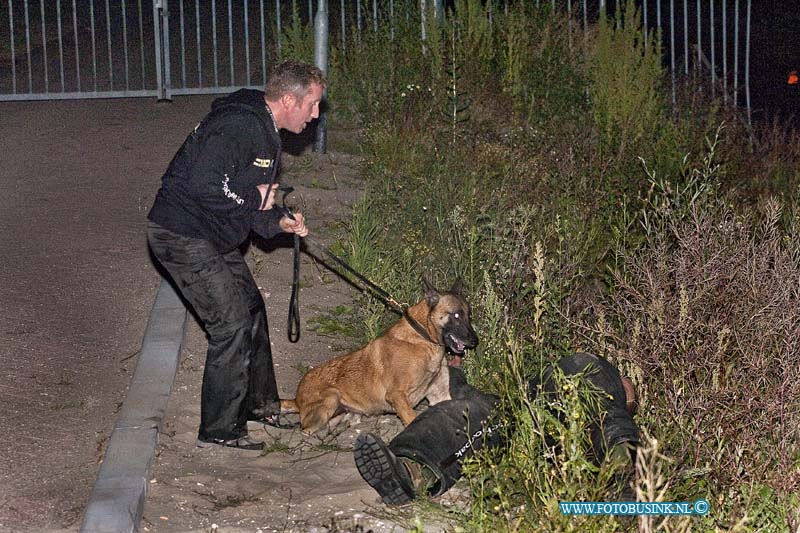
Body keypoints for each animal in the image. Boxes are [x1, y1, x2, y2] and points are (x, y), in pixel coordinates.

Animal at [282, 278, 478, 432]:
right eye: (456, 315)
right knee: (305, 430)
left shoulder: (440, 396)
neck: (423, 339)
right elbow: (413, 419)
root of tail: (297, 399)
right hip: (331, 397)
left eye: (469, 315)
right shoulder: (397, 396)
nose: (475, 341)